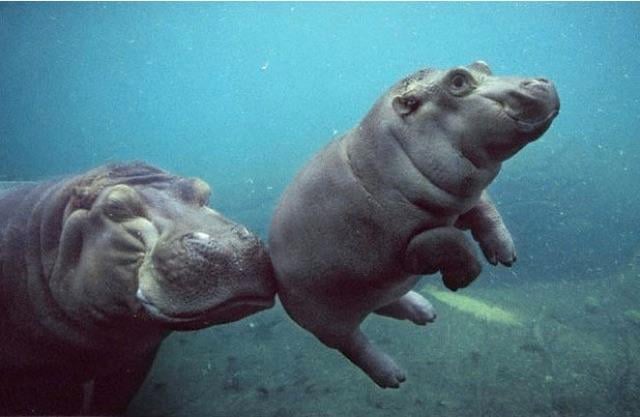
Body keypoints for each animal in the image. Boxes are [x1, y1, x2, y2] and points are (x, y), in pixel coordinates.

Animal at [269, 61, 559, 388]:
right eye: (458, 80)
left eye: (483, 65)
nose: (541, 81)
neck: (384, 150)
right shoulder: (407, 247)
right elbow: (451, 241)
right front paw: (460, 281)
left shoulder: (464, 196)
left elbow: (486, 209)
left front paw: (506, 255)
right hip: (327, 323)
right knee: (354, 344)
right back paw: (393, 377)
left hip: (372, 290)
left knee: (387, 303)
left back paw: (425, 312)